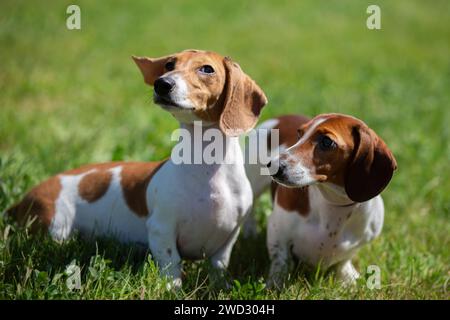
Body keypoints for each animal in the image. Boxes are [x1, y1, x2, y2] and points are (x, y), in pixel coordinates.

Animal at [7, 49, 268, 288]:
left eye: (207, 69)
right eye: (169, 64)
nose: (162, 84)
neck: (207, 169)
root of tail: (23, 200)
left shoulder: (229, 237)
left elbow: (219, 266)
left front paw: (220, 287)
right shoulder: (161, 229)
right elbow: (172, 265)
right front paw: (173, 290)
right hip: (56, 228)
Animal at [248, 113, 396, 288]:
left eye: (326, 142)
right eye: (299, 134)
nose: (272, 165)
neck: (334, 204)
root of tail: (283, 117)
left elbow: (343, 261)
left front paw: (347, 277)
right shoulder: (277, 230)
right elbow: (281, 261)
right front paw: (275, 283)